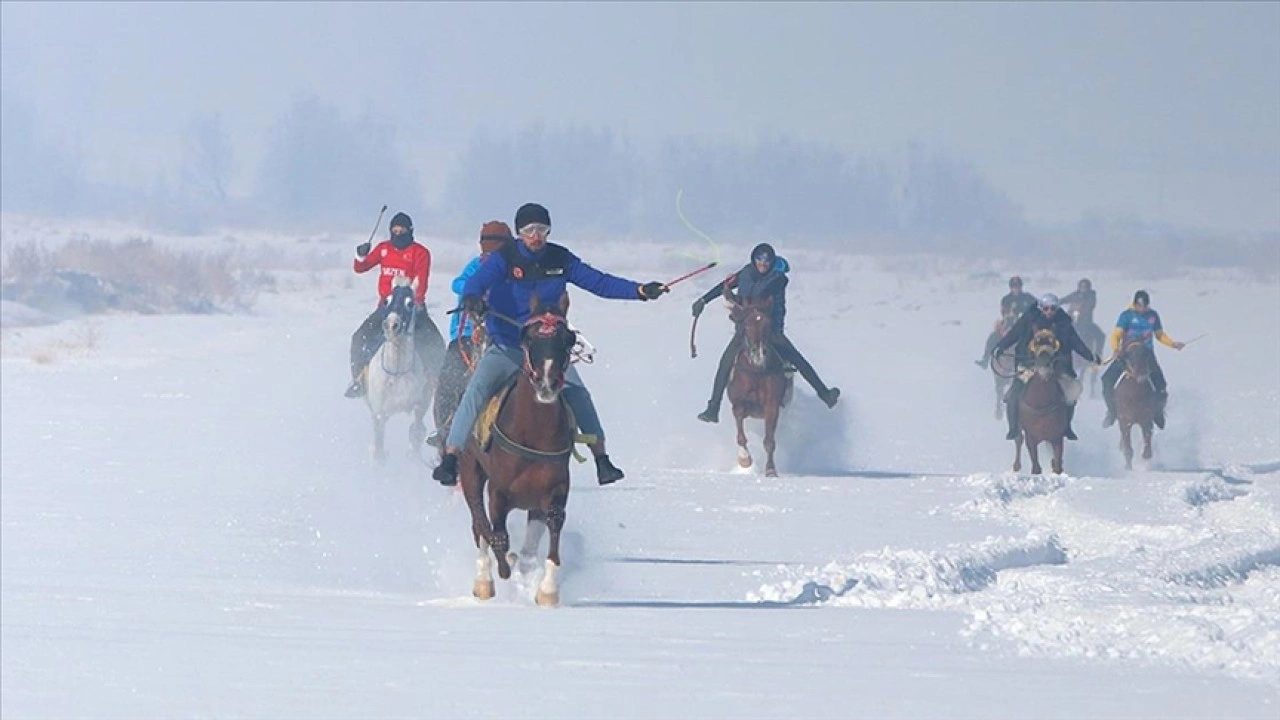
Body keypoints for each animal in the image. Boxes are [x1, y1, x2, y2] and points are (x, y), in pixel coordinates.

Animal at [363, 278, 432, 461]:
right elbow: (378, 446)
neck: (397, 372)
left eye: (410, 303)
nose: (390, 325)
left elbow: (416, 431)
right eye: (386, 301)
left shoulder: (420, 403)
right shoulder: (379, 412)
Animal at [460, 292, 576, 604]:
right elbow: (496, 534)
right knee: (478, 522)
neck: (533, 433)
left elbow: (553, 526)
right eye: (529, 338)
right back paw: (484, 580)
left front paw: (547, 590)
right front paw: (500, 571)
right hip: (470, 469)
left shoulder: (555, 489)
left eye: (568, 339)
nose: (546, 383)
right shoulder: (498, 491)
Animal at [727, 288, 783, 474]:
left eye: (768, 325)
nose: (758, 354)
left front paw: (771, 470)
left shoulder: (772, 405)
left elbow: (769, 441)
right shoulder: (738, 404)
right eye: (747, 325)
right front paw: (745, 459)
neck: (756, 372)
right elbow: (741, 436)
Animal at [1013, 327, 1075, 474]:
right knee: (1018, 439)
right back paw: (1016, 465)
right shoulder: (1031, 437)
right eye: (1036, 344)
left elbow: (1057, 464)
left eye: (1053, 349)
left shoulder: (1057, 437)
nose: (1044, 367)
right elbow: (1035, 466)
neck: (1041, 403)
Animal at [1116, 338, 1167, 468]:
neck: (1134, 395)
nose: (1142, 373)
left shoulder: (1146, 419)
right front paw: (1128, 466)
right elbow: (1127, 446)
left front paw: (1146, 455)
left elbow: (1147, 438)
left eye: (1147, 355)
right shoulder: (1124, 421)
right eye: (1130, 356)